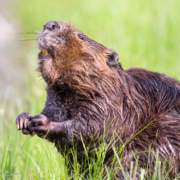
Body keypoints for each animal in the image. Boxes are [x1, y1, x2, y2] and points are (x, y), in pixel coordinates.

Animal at [15, 21, 180, 179]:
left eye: (81, 36)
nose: (50, 24)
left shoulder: (109, 101)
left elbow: (96, 127)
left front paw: (41, 122)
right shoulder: (55, 98)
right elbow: (52, 111)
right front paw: (23, 119)